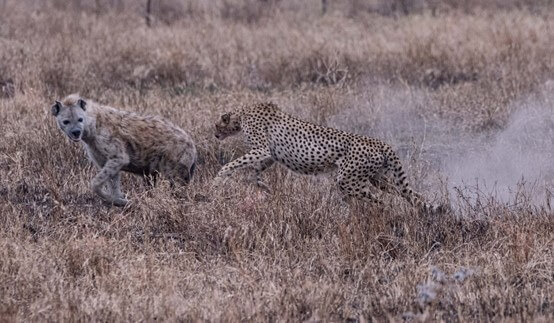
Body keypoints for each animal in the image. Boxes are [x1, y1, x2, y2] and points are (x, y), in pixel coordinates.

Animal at [50, 93, 196, 208]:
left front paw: (117, 200)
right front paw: (119, 200)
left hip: (174, 165)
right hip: (153, 173)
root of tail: (193, 146)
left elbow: (95, 183)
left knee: (178, 188)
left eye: (80, 119)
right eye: (66, 121)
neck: (91, 131)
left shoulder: (118, 156)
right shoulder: (105, 161)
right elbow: (112, 182)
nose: (76, 132)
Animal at [211, 102, 432, 211]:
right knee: (411, 194)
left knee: (381, 202)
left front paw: (217, 180)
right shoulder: (269, 155)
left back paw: (376, 216)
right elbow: (256, 170)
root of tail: (379, 142)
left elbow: (231, 164)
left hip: (347, 179)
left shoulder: (262, 149)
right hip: (379, 178)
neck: (241, 114)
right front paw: (261, 185)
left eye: (216, 125)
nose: (215, 135)